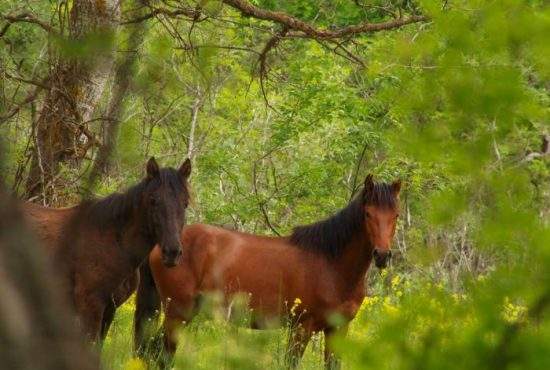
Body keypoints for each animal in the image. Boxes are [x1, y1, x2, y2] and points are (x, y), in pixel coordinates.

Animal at [22, 158, 192, 342]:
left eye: (185, 203)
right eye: (153, 200)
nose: (172, 252)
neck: (112, 242)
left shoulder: (110, 310)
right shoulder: (91, 307)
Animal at [134, 175, 402, 368]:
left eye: (396, 215)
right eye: (368, 213)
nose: (382, 255)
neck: (332, 266)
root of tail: (164, 246)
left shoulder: (338, 329)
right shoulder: (301, 328)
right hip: (177, 314)